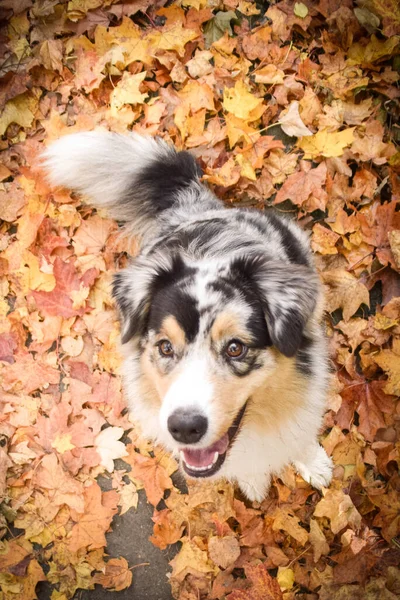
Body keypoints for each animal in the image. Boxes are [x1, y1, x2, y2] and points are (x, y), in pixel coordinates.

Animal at [42, 131, 332, 502]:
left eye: (235, 348)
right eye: (165, 347)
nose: (184, 427)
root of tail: (198, 205)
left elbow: (299, 435)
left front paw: (314, 463)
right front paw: (253, 480)